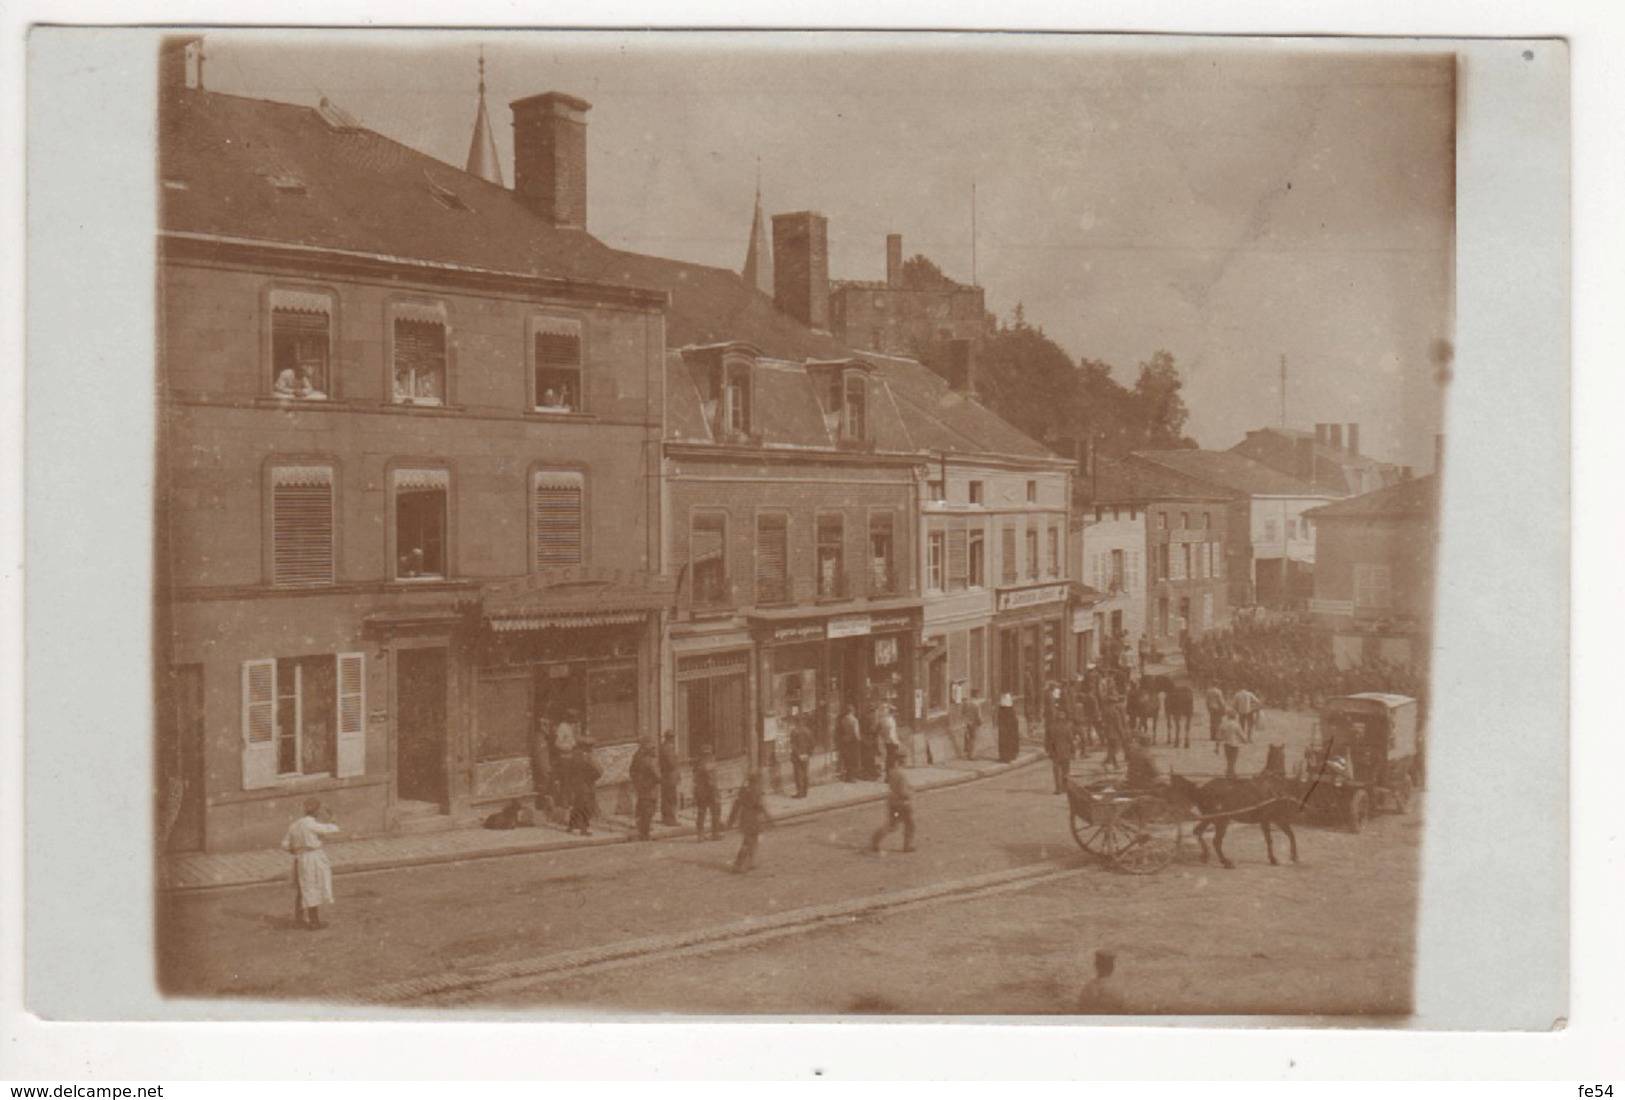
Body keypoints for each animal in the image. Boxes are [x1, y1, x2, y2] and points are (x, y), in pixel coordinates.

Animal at [1170, 740, 1306, 870]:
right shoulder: (1266, 819)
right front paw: (1273, 859)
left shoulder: (1277, 818)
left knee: (1198, 831)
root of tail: (1201, 790)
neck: (1272, 783)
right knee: (1215, 841)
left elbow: (1291, 834)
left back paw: (1205, 855)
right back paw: (1225, 862)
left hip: (1211, 818)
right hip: (1221, 820)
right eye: (1284, 755)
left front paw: (1294, 856)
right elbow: (1270, 839)